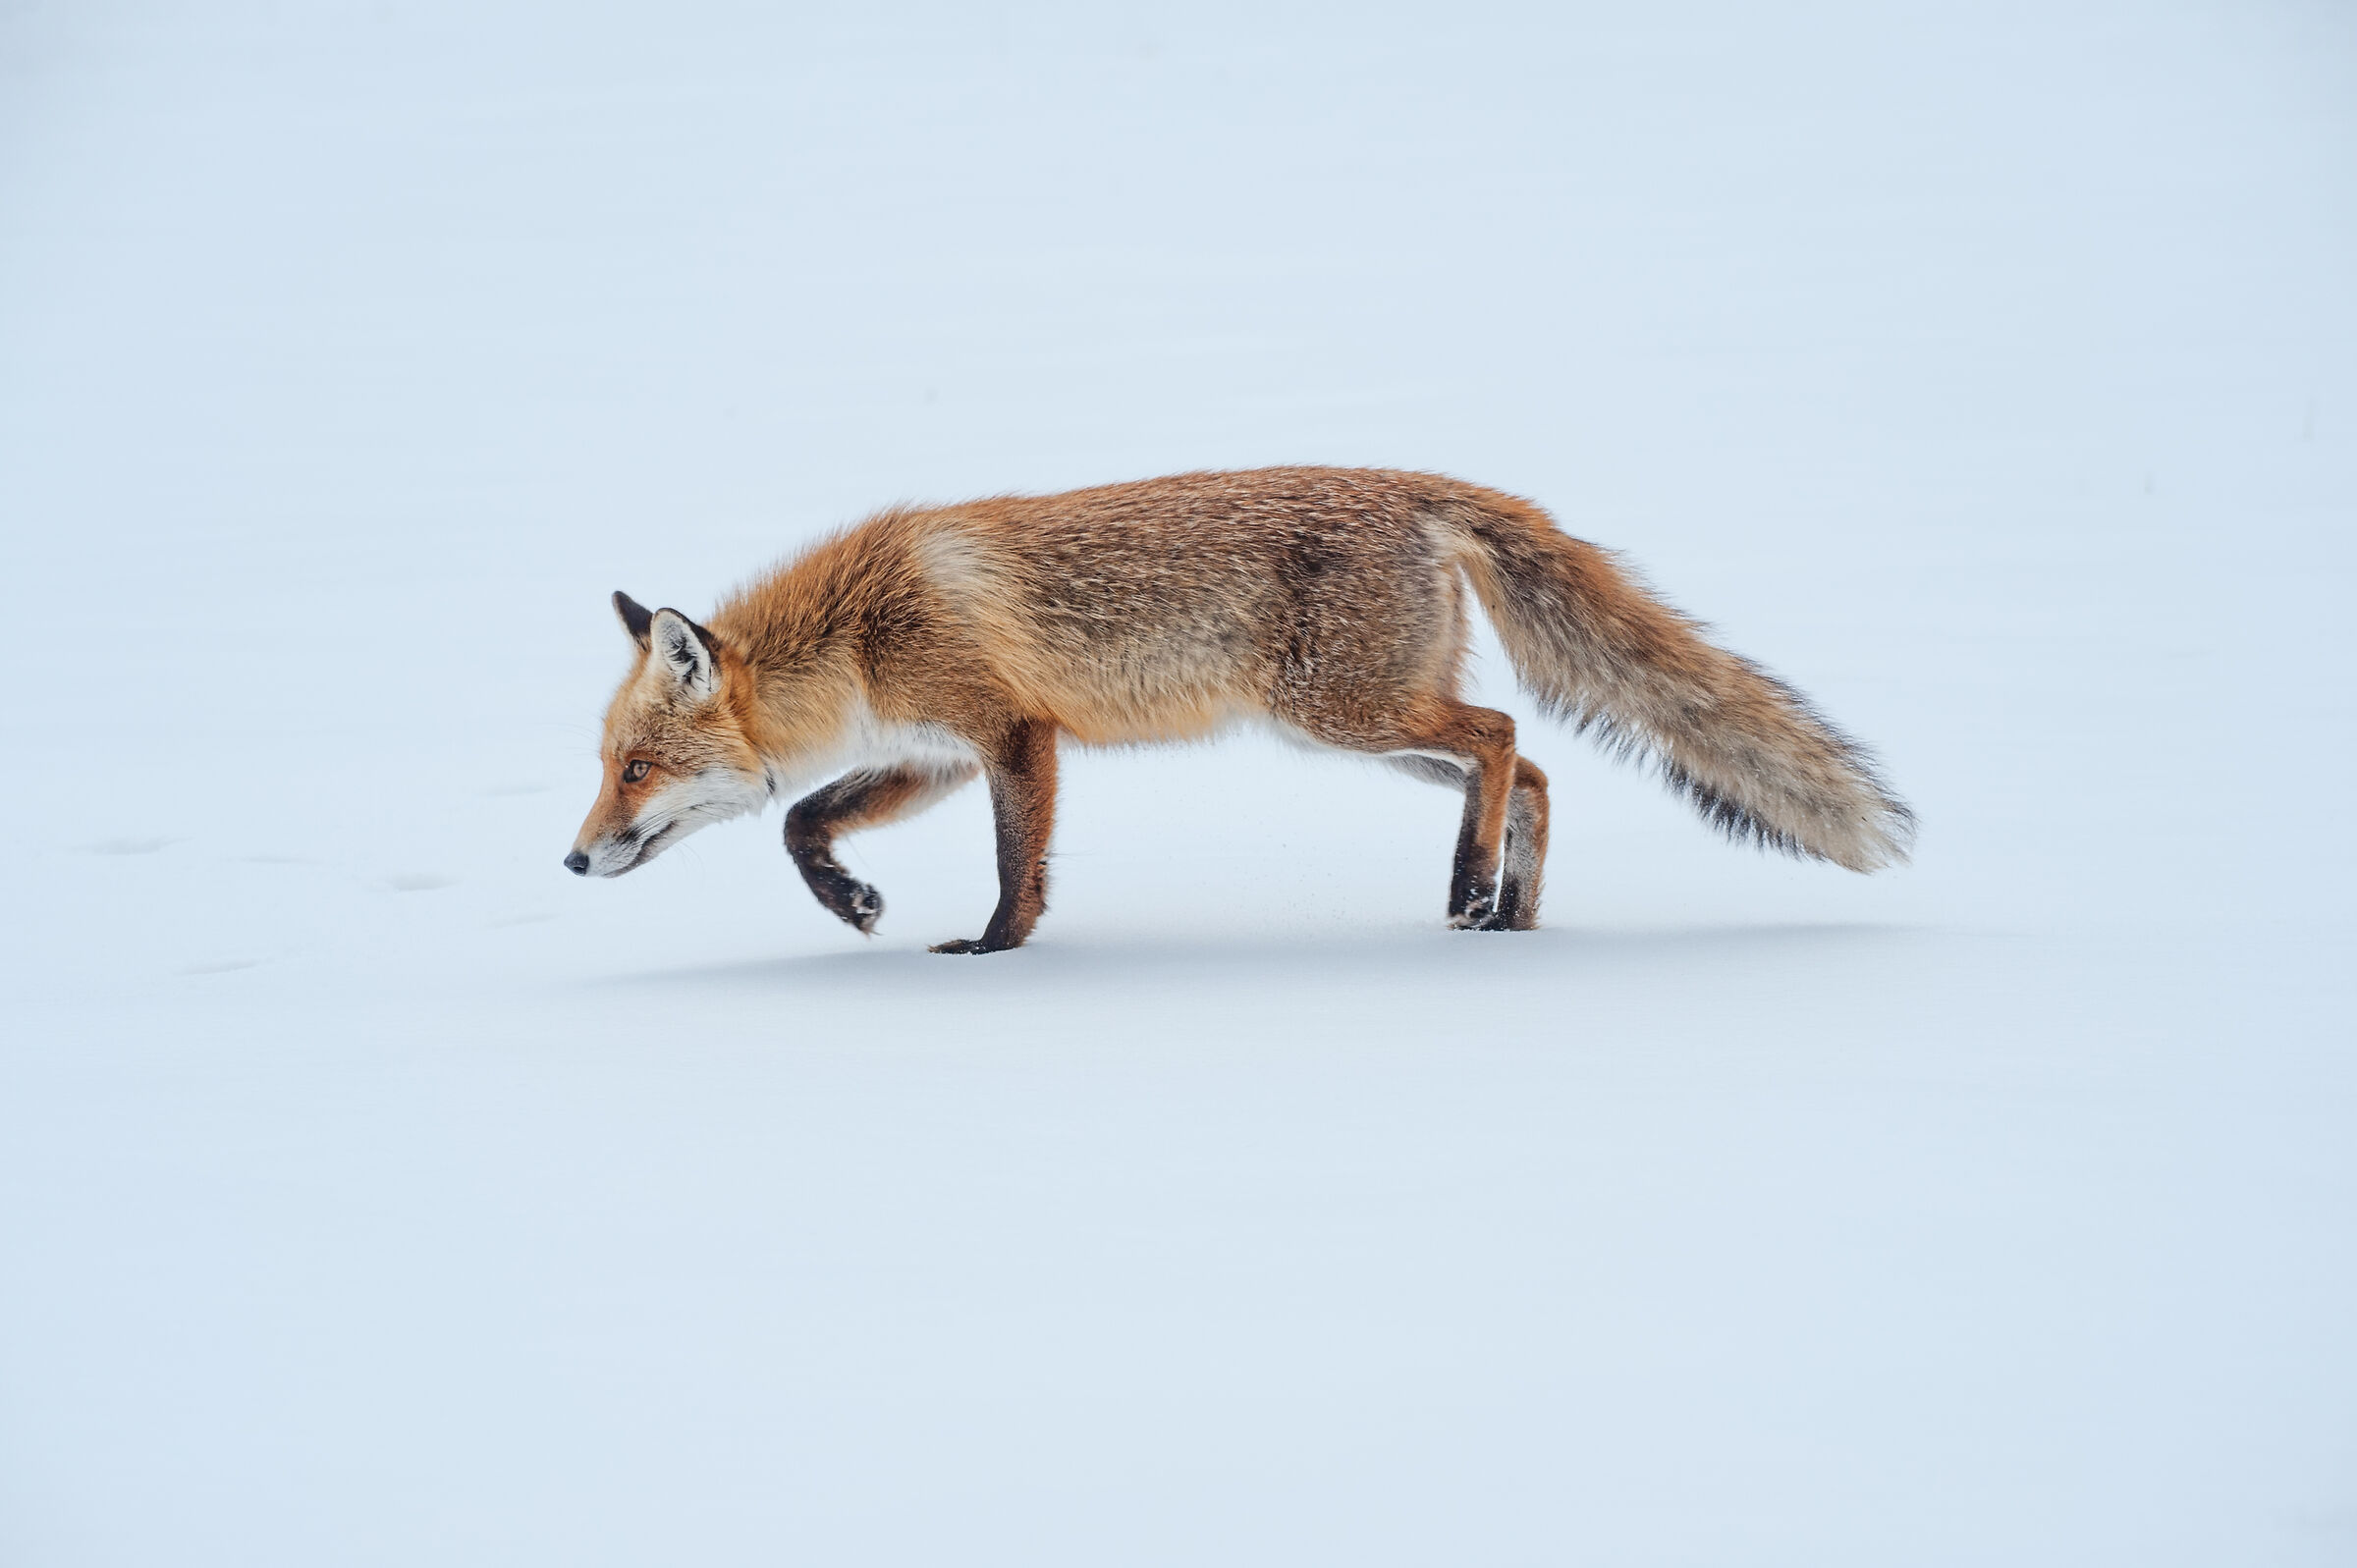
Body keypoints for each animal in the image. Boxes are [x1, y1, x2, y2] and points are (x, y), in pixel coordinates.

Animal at [566, 467, 1912, 952]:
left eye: (634, 768)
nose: (573, 860)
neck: (854, 638)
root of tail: (1421, 482)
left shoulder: (1013, 736)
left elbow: (1016, 870)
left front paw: (995, 955)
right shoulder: (936, 752)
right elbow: (805, 824)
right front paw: (851, 902)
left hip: (1349, 716)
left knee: (1506, 737)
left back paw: (1471, 889)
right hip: (1368, 730)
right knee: (1528, 768)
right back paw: (1510, 913)